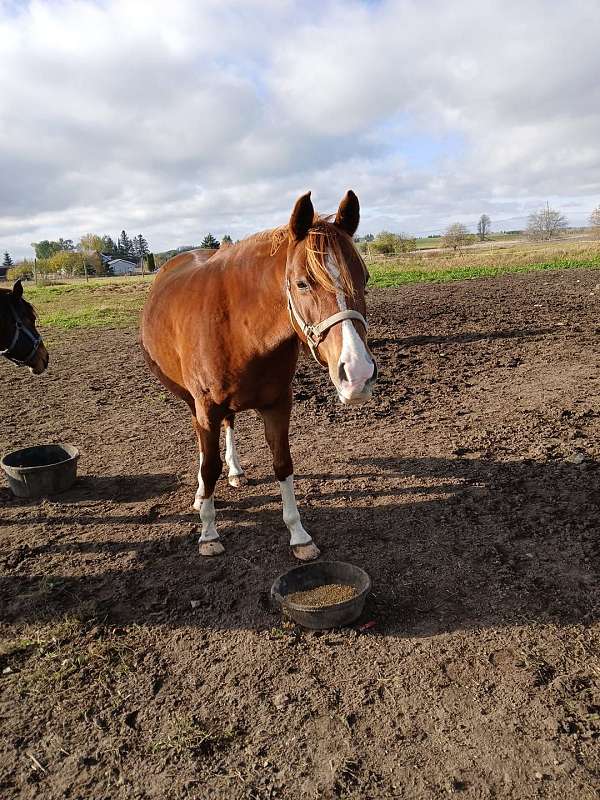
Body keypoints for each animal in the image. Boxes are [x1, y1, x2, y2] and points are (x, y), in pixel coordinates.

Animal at [140, 190, 376, 560]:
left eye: (364, 279)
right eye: (302, 283)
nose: (358, 373)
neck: (239, 326)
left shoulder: (278, 403)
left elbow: (283, 464)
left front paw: (299, 535)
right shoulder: (206, 407)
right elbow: (209, 467)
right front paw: (208, 534)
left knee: (229, 426)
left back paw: (235, 471)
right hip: (192, 402)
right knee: (202, 446)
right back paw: (200, 496)